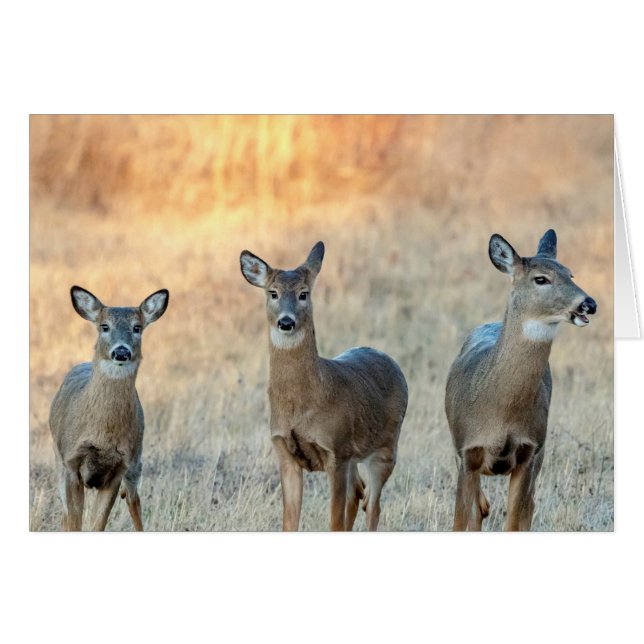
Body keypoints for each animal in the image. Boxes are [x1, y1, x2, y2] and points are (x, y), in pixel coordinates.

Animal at [49, 286, 169, 531]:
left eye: (137, 327)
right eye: (105, 326)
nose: (121, 352)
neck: (102, 435)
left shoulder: (119, 468)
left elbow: (98, 524)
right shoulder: (70, 461)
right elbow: (74, 521)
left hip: (136, 458)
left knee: (134, 501)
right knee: (66, 515)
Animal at [240, 241, 408, 531]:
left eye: (303, 294)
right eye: (273, 293)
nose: (286, 322)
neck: (303, 403)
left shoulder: (336, 452)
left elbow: (335, 522)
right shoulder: (285, 454)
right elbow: (289, 524)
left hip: (386, 447)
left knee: (373, 505)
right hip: (357, 456)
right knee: (358, 493)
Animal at [445, 229, 597, 531]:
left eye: (570, 274)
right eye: (541, 279)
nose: (589, 304)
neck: (501, 413)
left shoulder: (530, 451)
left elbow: (516, 521)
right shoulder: (467, 452)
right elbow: (461, 521)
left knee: (525, 509)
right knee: (478, 510)